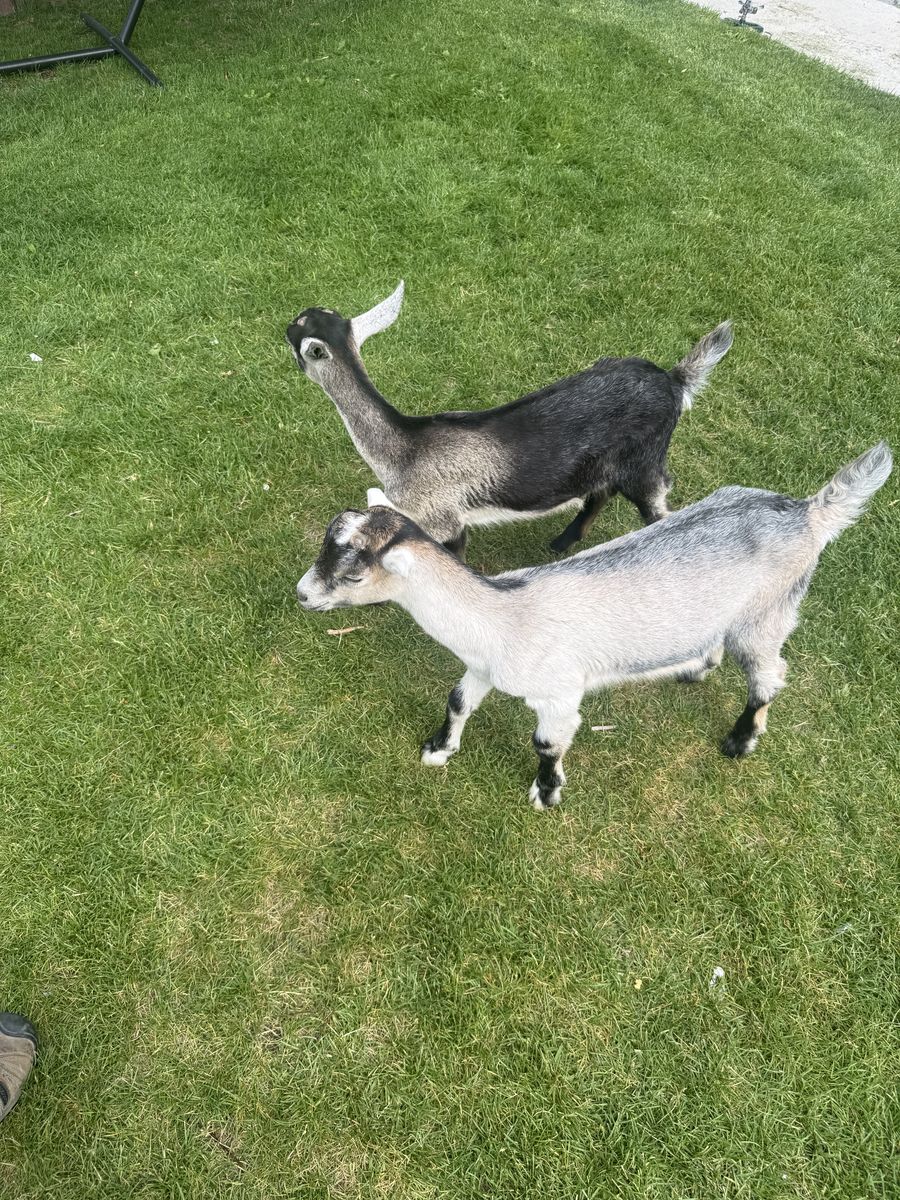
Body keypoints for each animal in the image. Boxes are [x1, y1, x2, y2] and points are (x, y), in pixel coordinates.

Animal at [286, 283, 733, 557]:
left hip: (646, 463)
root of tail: (673, 381)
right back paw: (561, 543)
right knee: (600, 491)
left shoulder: (442, 519)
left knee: (658, 508)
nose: (285, 324)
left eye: (298, 335)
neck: (404, 449)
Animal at [297, 444, 892, 811]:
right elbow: (458, 700)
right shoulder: (483, 665)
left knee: (768, 675)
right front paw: (438, 750)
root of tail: (807, 513)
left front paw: (547, 793)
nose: (302, 594)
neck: (503, 612)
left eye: (353, 573)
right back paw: (695, 668)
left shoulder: (559, 691)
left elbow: (547, 742)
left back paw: (740, 740)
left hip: (769, 612)